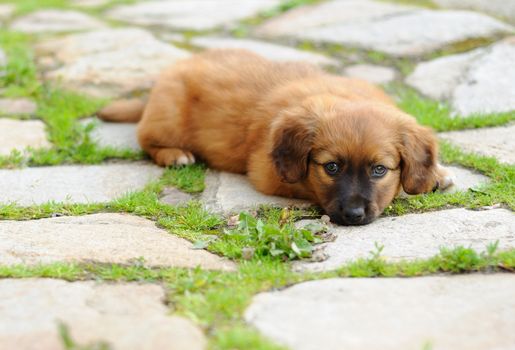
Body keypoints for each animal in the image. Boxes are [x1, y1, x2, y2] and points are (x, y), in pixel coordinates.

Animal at [99, 48, 454, 224]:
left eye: (379, 170)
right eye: (331, 168)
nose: (353, 216)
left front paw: (434, 174)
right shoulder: (269, 174)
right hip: (168, 116)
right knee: (145, 139)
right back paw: (175, 154)